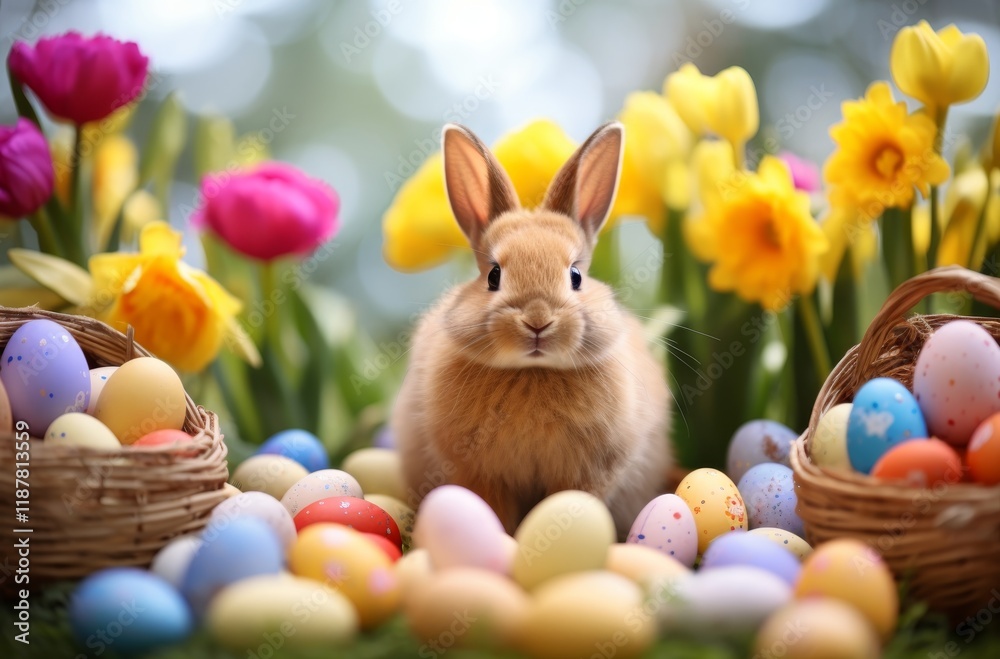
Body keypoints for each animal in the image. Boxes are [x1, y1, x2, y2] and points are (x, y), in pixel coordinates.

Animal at [392, 121, 672, 537]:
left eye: (575, 277)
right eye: (493, 275)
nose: (537, 320)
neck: (533, 371)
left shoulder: (589, 471)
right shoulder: (481, 473)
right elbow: (493, 509)